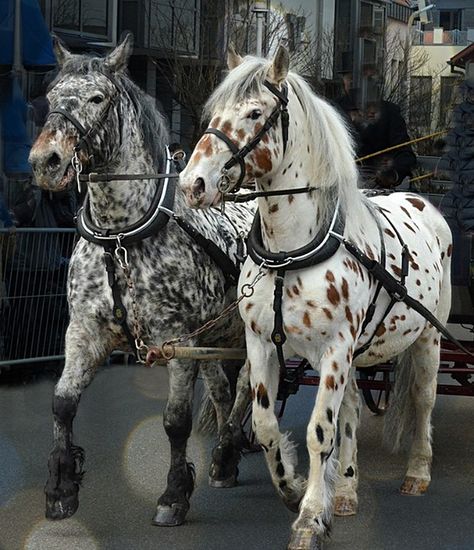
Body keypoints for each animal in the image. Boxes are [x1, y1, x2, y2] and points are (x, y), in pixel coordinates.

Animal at [28, 33, 256, 528]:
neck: (121, 237)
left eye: (97, 98)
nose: (44, 161)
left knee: (249, 386)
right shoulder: (84, 332)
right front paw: (60, 488)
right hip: (216, 337)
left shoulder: (176, 341)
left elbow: (174, 421)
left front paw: (173, 495)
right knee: (224, 390)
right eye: (51, 97)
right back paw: (225, 460)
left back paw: (229, 447)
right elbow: (62, 403)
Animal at [180, 46, 472, 548]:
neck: (289, 251)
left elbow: (320, 431)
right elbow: (266, 424)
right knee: (352, 408)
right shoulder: (263, 343)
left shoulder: (336, 347)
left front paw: (311, 517)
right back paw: (349, 490)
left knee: (422, 399)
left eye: (255, 113)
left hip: (427, 340)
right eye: (215, 113)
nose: (191, 183)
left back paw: (417, 472)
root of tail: (422, 201)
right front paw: (293, 488)